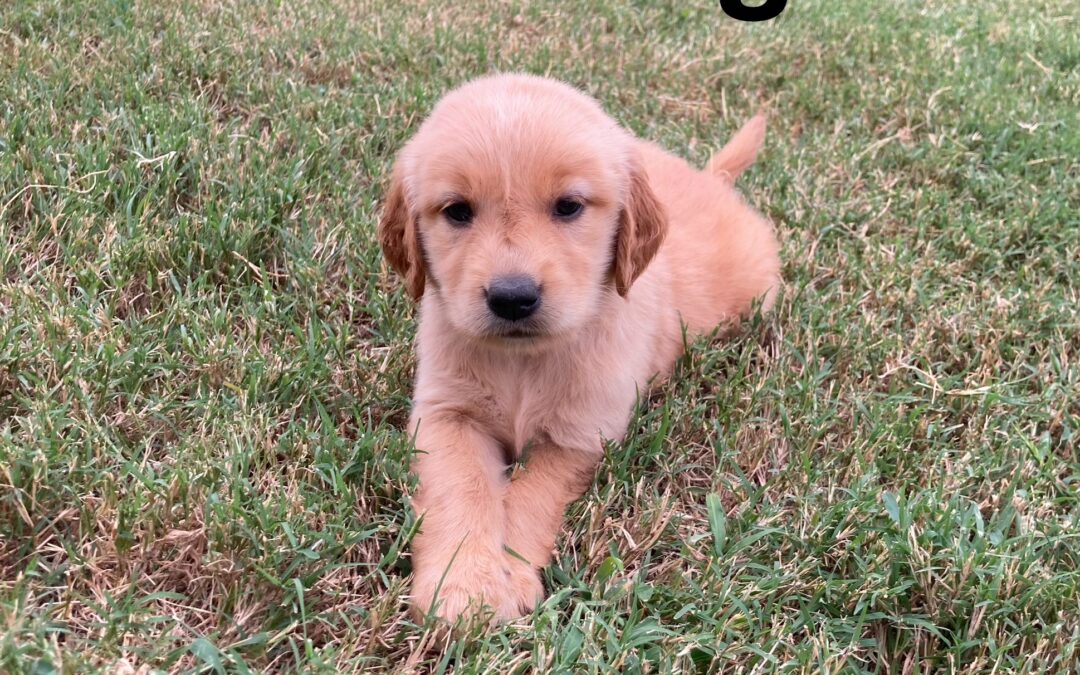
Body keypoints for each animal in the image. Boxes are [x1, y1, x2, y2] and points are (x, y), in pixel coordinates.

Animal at [378, 73, 777, 622]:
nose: (513, 297)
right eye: (457, 211)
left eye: (568, 206)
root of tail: (711, 178)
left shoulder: (582, 434)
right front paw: (463, 588)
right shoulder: (445, 414)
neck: (524, 362)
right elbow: (462, 489)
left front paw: (506, 578)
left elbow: (531, 497)